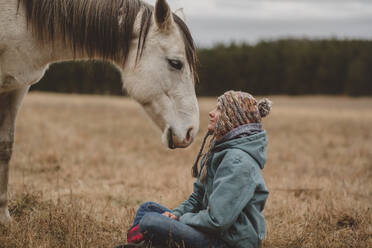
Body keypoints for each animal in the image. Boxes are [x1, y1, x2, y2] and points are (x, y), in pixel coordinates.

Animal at [0, 0, 201, 225]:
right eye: (175, 63)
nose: (191, 131)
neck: (23, 18)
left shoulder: (17, 88)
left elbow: (5, 147)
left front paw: (4, 218)